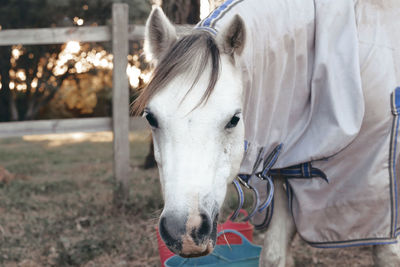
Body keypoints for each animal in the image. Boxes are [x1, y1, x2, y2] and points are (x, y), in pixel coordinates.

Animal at [136, 1, 400, 266]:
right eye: (151, 118)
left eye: (234, 119)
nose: (185, 232)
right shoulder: (280, 177)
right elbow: (274, 254)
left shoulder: (382, 201)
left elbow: (388, 254)